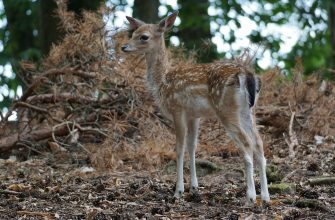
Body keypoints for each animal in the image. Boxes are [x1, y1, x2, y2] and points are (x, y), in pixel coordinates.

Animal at [121, 11, 270, 204]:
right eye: (133, 33)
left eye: (144, 37)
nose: (124, 47)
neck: (162, 81)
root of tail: (247, 75)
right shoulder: (194, 115)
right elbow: (192, 147)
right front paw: (194, 187)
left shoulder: (177, 109)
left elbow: (179, 148)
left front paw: (178, 191)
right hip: (248, 111)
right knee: (259, 143)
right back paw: (265, 197)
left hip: (226, 109)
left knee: (247, 144)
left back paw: (250, 197)